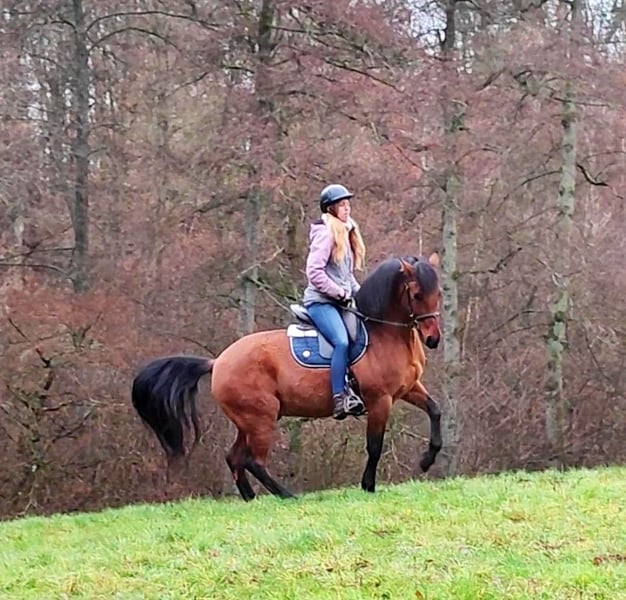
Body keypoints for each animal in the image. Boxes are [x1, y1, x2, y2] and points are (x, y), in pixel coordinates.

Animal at [131, 253, 443, 501]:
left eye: (438, 293)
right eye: (416, 294)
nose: (433, 339)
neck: (384, 333)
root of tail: (218, 361)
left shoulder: (409, 388)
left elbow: (435, 410)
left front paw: (427, 460)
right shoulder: (381, 400)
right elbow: (375, 445)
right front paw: (368, 485)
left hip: (249, 421)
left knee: (235, 458)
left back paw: (251, 498)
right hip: (262, 417)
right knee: (253, 461)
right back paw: (286, 495)